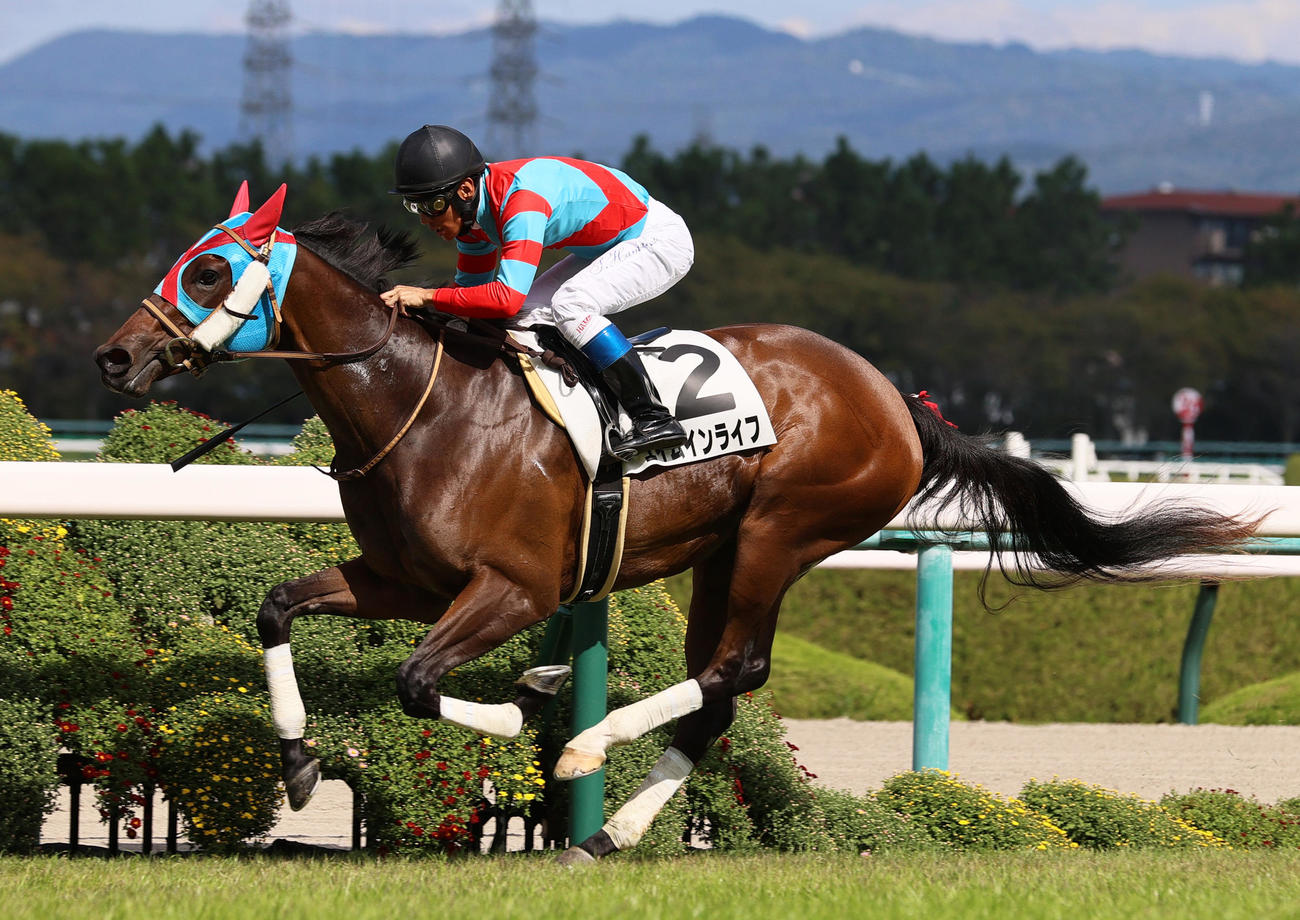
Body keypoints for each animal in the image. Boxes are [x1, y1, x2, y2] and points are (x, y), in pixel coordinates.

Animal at [94, 184, 1257, 864]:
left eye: (208, 267)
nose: (115, 355)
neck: (422, 407)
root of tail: (901, 403)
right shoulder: (404, 582)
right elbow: (276, 606)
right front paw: (296, 760)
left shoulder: (510, 586)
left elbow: (420, 683)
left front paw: (532, 702)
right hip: (722, 551)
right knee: (718, 691)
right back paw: (605, 831)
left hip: (780, 532)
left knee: (732, 670)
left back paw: (584, 754)